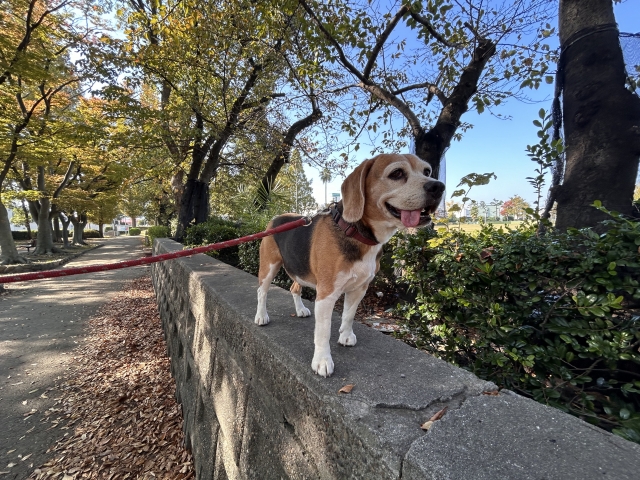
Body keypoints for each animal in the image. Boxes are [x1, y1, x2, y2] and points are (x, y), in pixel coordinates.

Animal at [252, 153, 442, 376]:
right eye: (397, 173)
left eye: (427, 171)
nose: (438, 186)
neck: (356, 232)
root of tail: (276, 218)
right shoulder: (326, 294)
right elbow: (323, 332)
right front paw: (322, 361)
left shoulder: (360, 288)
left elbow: (349, 315)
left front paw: (345, 336)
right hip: (269, 267)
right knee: (262, 292)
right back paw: (261, 316)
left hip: (300, 270)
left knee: (294, 288)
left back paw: (300, 310)